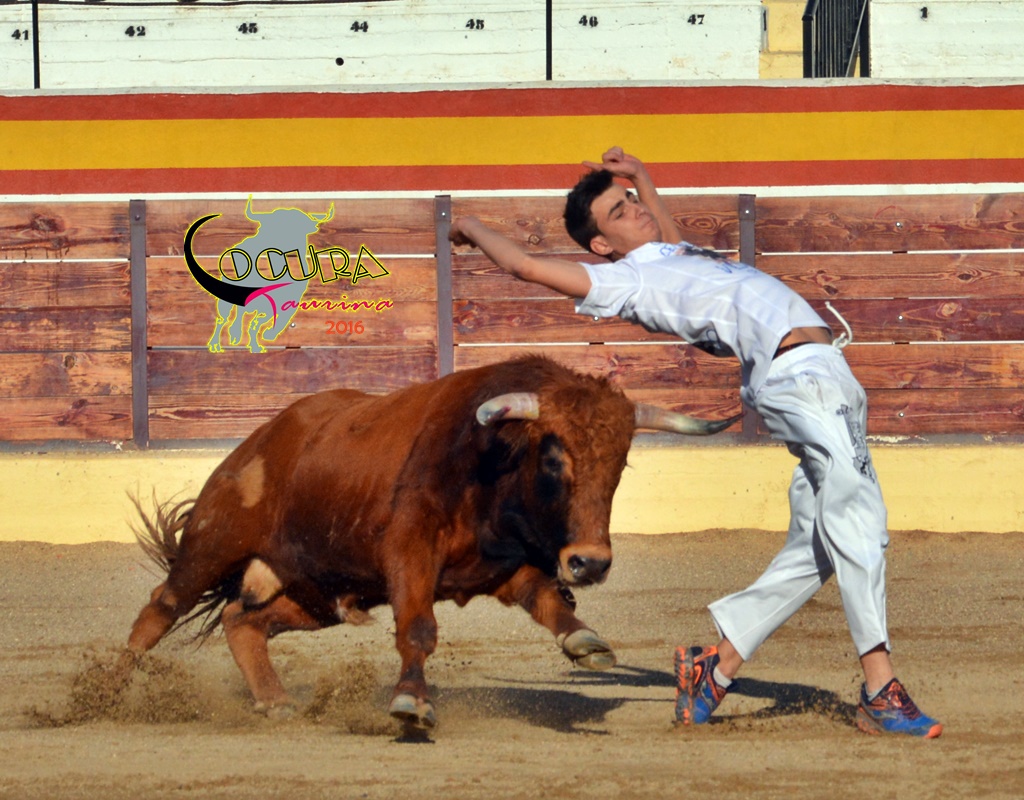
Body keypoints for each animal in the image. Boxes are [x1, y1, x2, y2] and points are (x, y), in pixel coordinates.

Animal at [122, 355, 739, 733]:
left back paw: (274, 701)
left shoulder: (498, 566)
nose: (590, 563)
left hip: (322, 590)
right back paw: (116, 684)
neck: (490, 470)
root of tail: (259, 439)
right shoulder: (409, 553)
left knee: (243, 620)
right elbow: (417, 629)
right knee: (162, 605)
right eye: (553, 458)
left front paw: (583, 640)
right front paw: (411, 702)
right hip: (215, 541)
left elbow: (545, 598)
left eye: (620, 464)